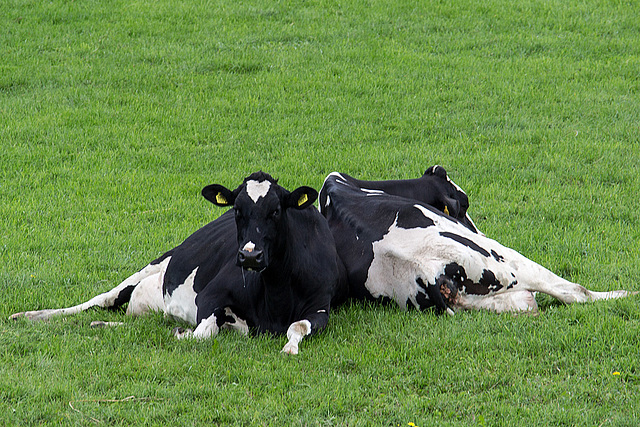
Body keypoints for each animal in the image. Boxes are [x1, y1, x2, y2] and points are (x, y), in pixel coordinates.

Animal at [10, 172, 348, 356]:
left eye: (276, 210)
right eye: (237, 210)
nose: (250, 256)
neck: (276, 295)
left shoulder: (320, 308)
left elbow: (298, 327)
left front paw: (290, 347)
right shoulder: (210, 295)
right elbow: (204, 332)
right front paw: (184, 334)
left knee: (140, 322)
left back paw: (105, 325)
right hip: (155, 264)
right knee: (99, 300)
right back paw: (30, 316)